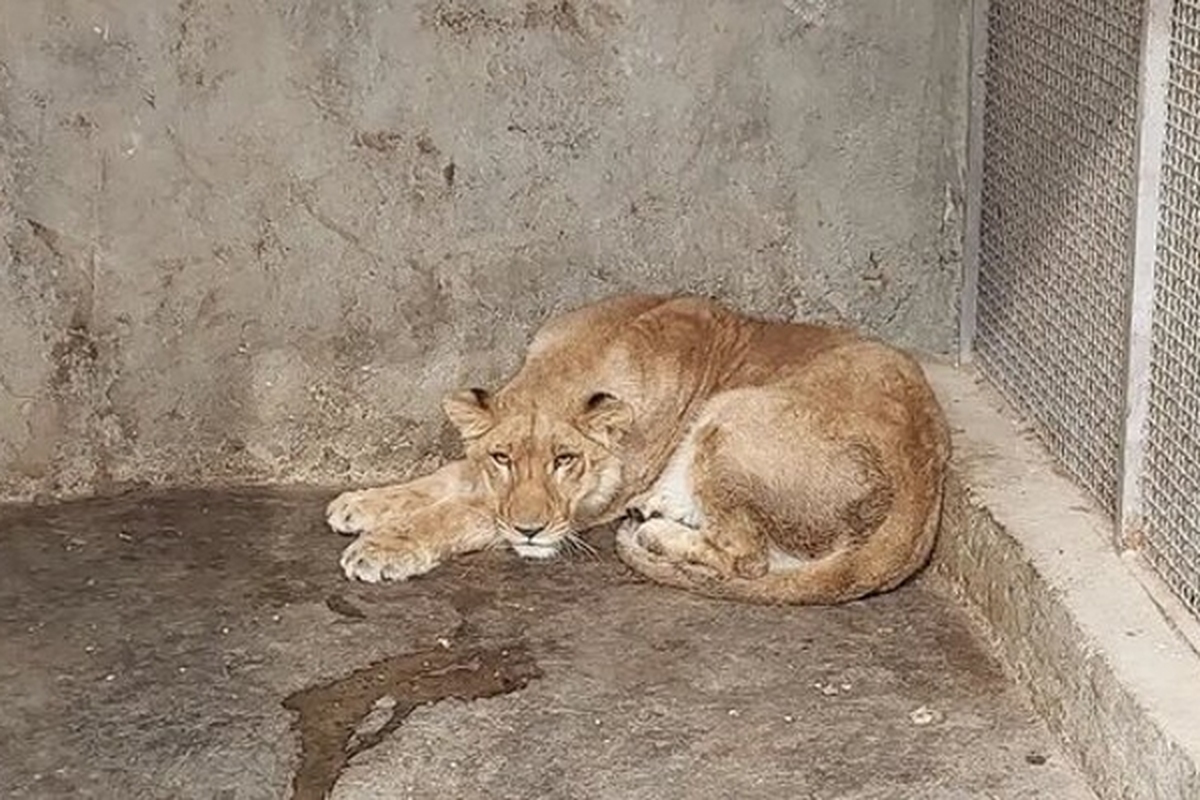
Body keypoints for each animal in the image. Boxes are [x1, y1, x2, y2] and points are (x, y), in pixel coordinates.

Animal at [326, 296, 945, 606]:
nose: (529, 531)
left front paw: (381, 548)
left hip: (730, 416)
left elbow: (458, 512)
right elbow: (447, 479)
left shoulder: (582, 509)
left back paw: (654, 532)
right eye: (502, 458)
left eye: (565, 460)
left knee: (747, 558)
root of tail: (923, 497)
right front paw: (361, 504)